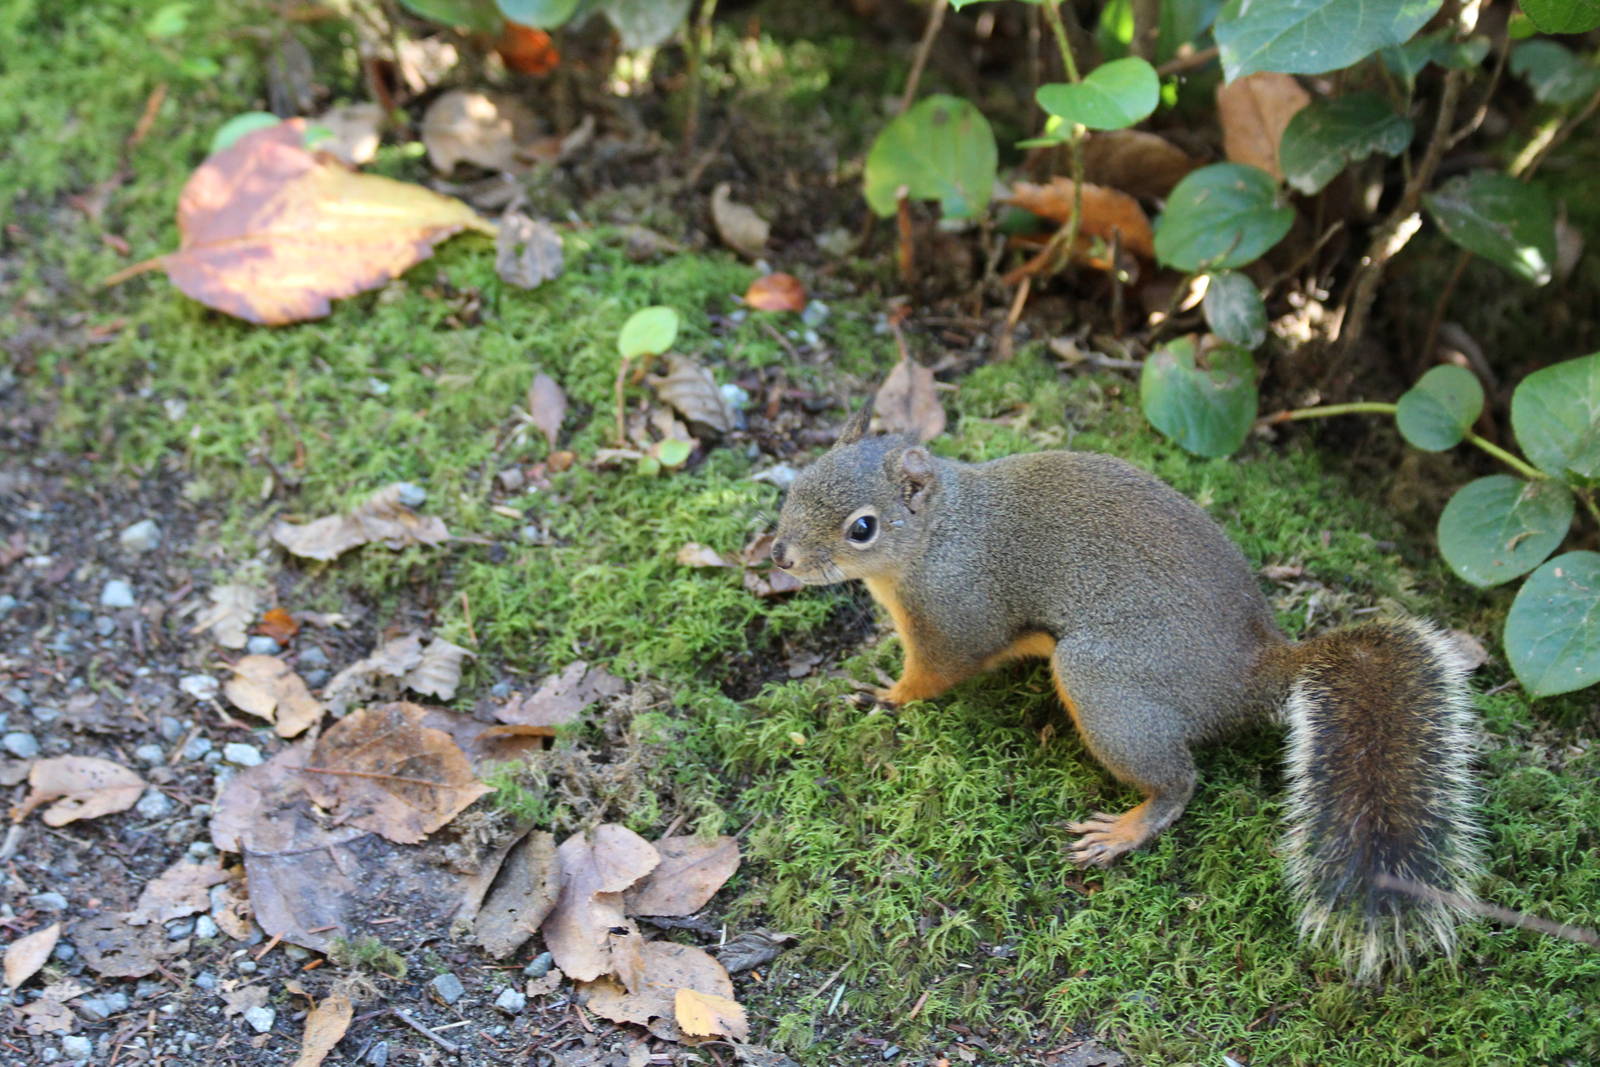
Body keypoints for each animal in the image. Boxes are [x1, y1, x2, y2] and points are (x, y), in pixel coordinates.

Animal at [769, 401, 1483, 980]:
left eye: (862, 528)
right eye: (798, 483)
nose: (780, 556)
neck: (938, 533)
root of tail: (1256, 672)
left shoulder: (956, 613)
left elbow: (939, 671)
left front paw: (888, 693)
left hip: (1104, 681)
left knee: (1179, 781)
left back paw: (1127, 827)